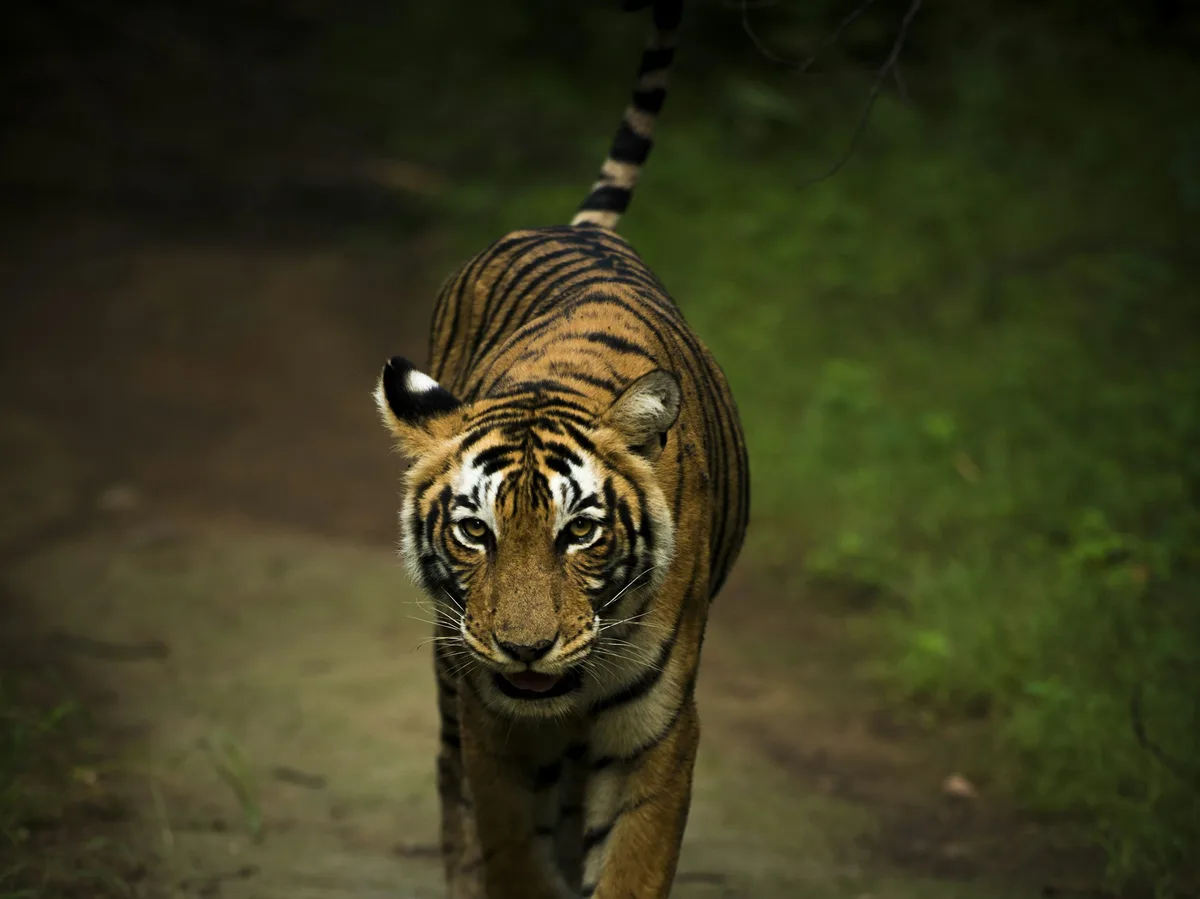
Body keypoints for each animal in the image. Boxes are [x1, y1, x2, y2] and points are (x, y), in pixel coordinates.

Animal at [373, 1, 749, 897]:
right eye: (474, 531)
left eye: (581, 532)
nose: (524, 647)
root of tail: (569, 227)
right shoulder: (494, 721)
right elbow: (513, 849)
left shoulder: (657, 730)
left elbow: (632, 864)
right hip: (451, 670)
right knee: (451, 778)